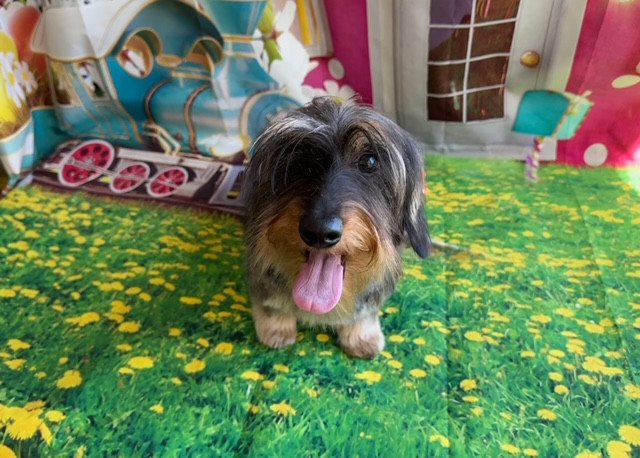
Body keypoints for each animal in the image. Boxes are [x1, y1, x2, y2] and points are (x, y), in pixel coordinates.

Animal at [242, 97, 430, 359]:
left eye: (370, 161)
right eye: (300, 160)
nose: (319, 231)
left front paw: (361, 335)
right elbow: (270, 303)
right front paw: (276, 327)